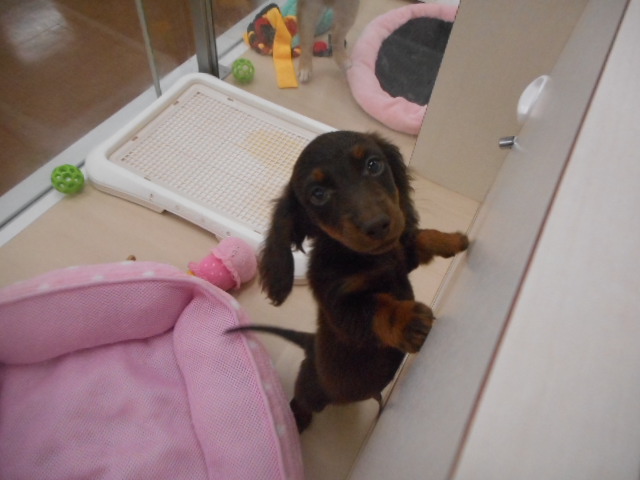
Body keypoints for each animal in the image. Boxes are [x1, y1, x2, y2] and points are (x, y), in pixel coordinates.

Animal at [229, 131, 468, 432]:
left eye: (373, 164)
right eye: (318, 194)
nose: (377, 225)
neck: (364, 258)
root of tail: (310, 344)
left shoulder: (402, 257)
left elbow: (417, 239)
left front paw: (451, 239)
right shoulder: (341, 309)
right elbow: (377, 307)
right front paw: (407, 320)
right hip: (314, 387)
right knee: (302, 399)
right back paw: (297, 421)